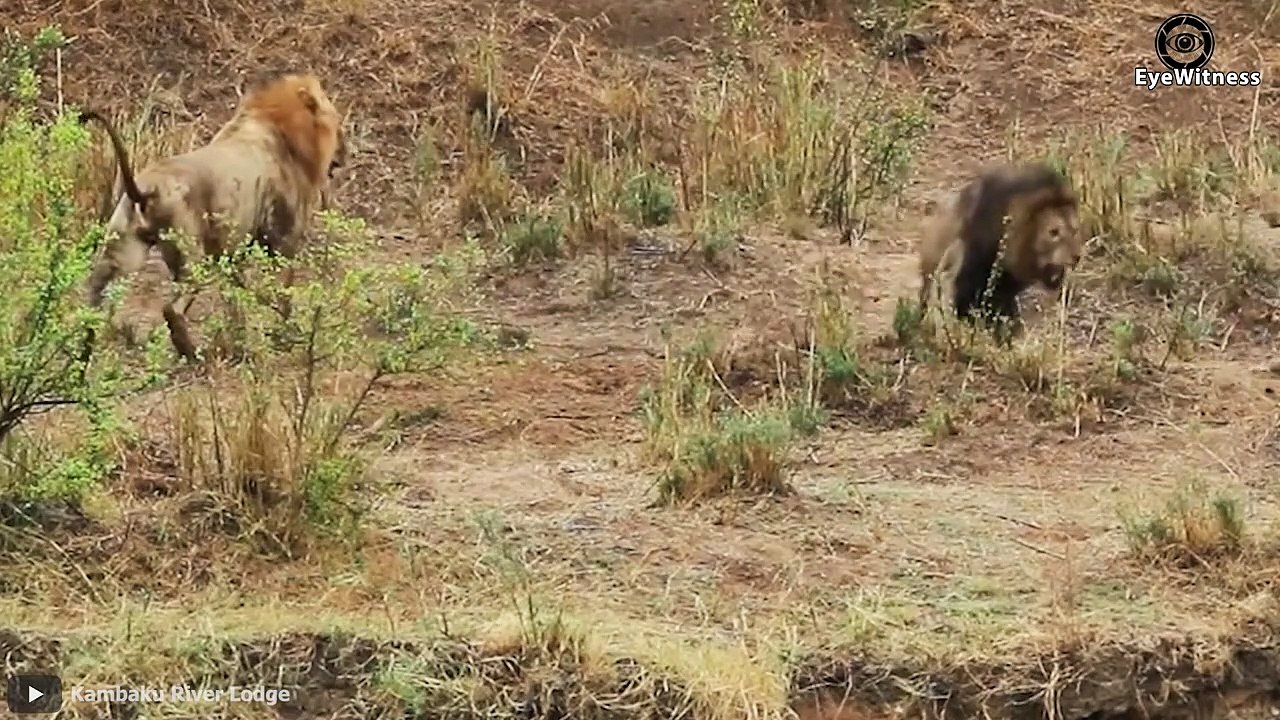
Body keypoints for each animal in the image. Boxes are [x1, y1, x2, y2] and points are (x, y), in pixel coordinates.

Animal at [78, 72, 348, 361]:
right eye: (337, 123)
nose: (345, 152)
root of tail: (145, 187)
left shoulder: (231, 252)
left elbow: (235, 299)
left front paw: (240, 342)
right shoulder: (283, 241)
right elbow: (283, 294)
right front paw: (284, 338)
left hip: (121, 250)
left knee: (92, 298)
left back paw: (82, 356)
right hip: (192, 256)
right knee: (172, 309)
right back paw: (192, 354)